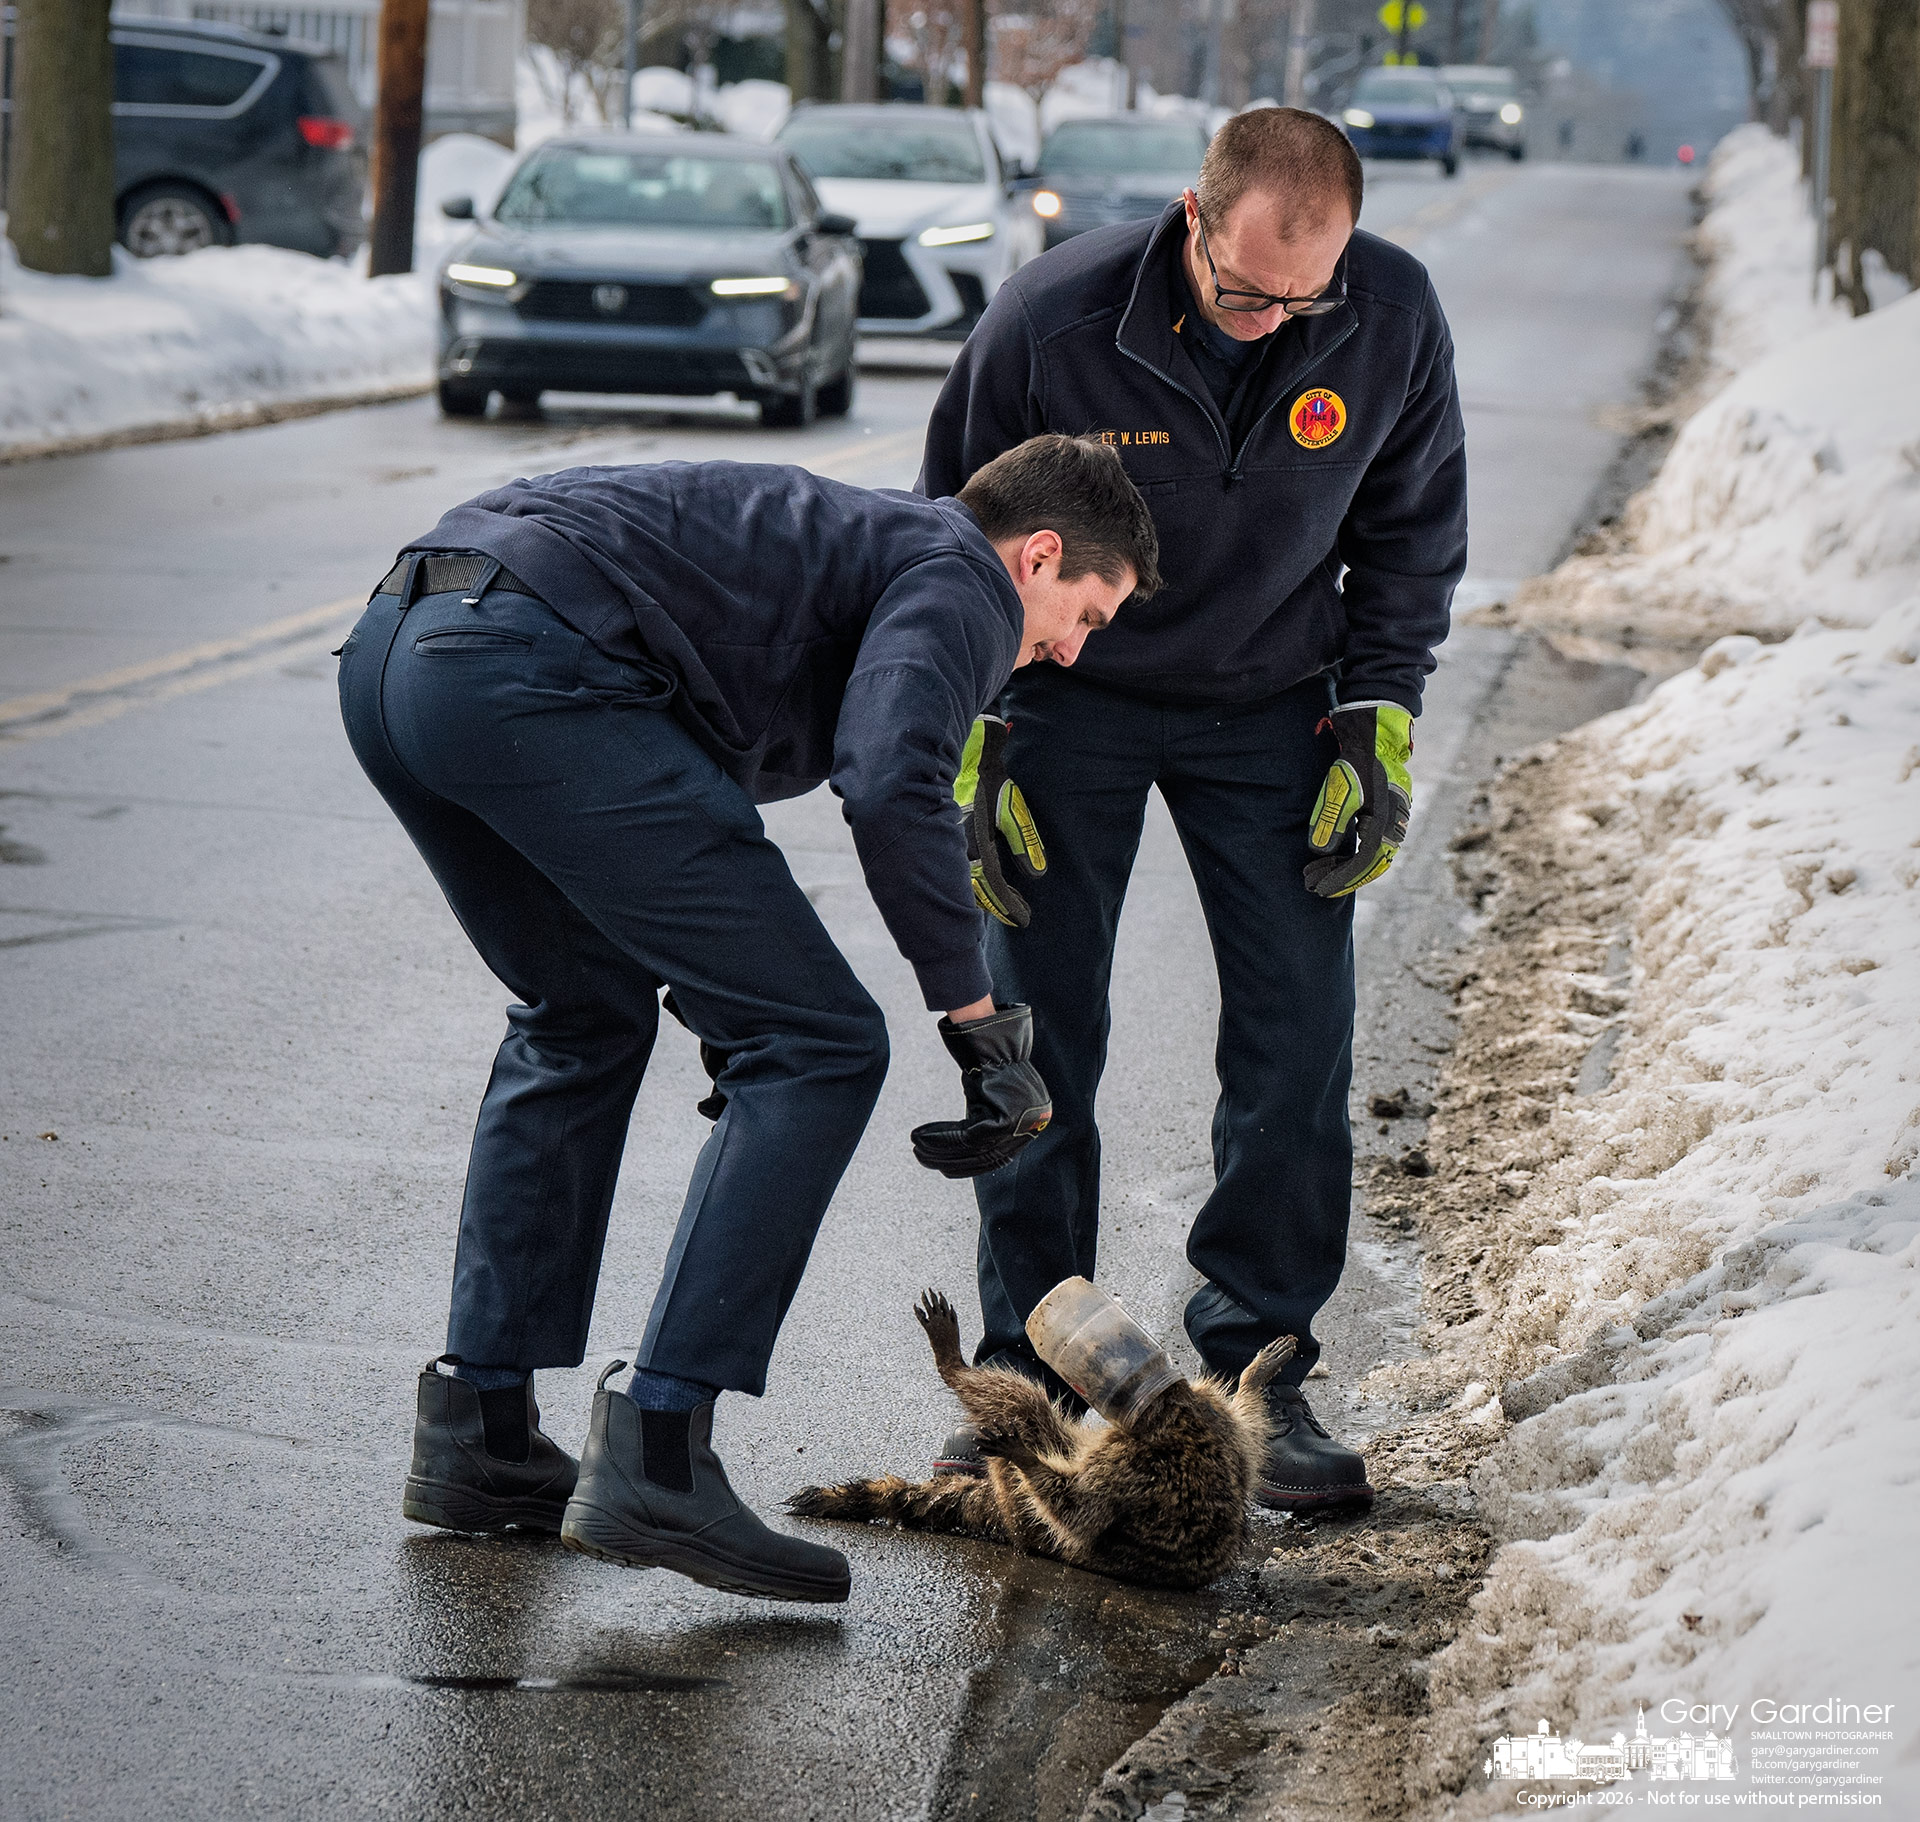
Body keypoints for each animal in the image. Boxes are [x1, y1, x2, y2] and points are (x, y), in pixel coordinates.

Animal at [788, 1291, 1295, 1590]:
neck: (1177, 1411)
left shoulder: (1131, 1462)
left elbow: (1081, 1511)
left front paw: (1028, 1459)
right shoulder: (1219, 1425)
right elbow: (1248, 1434)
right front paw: (1253, 1377)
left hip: (1021, 1513)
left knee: (1021, 1405)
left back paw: (954, 1367)